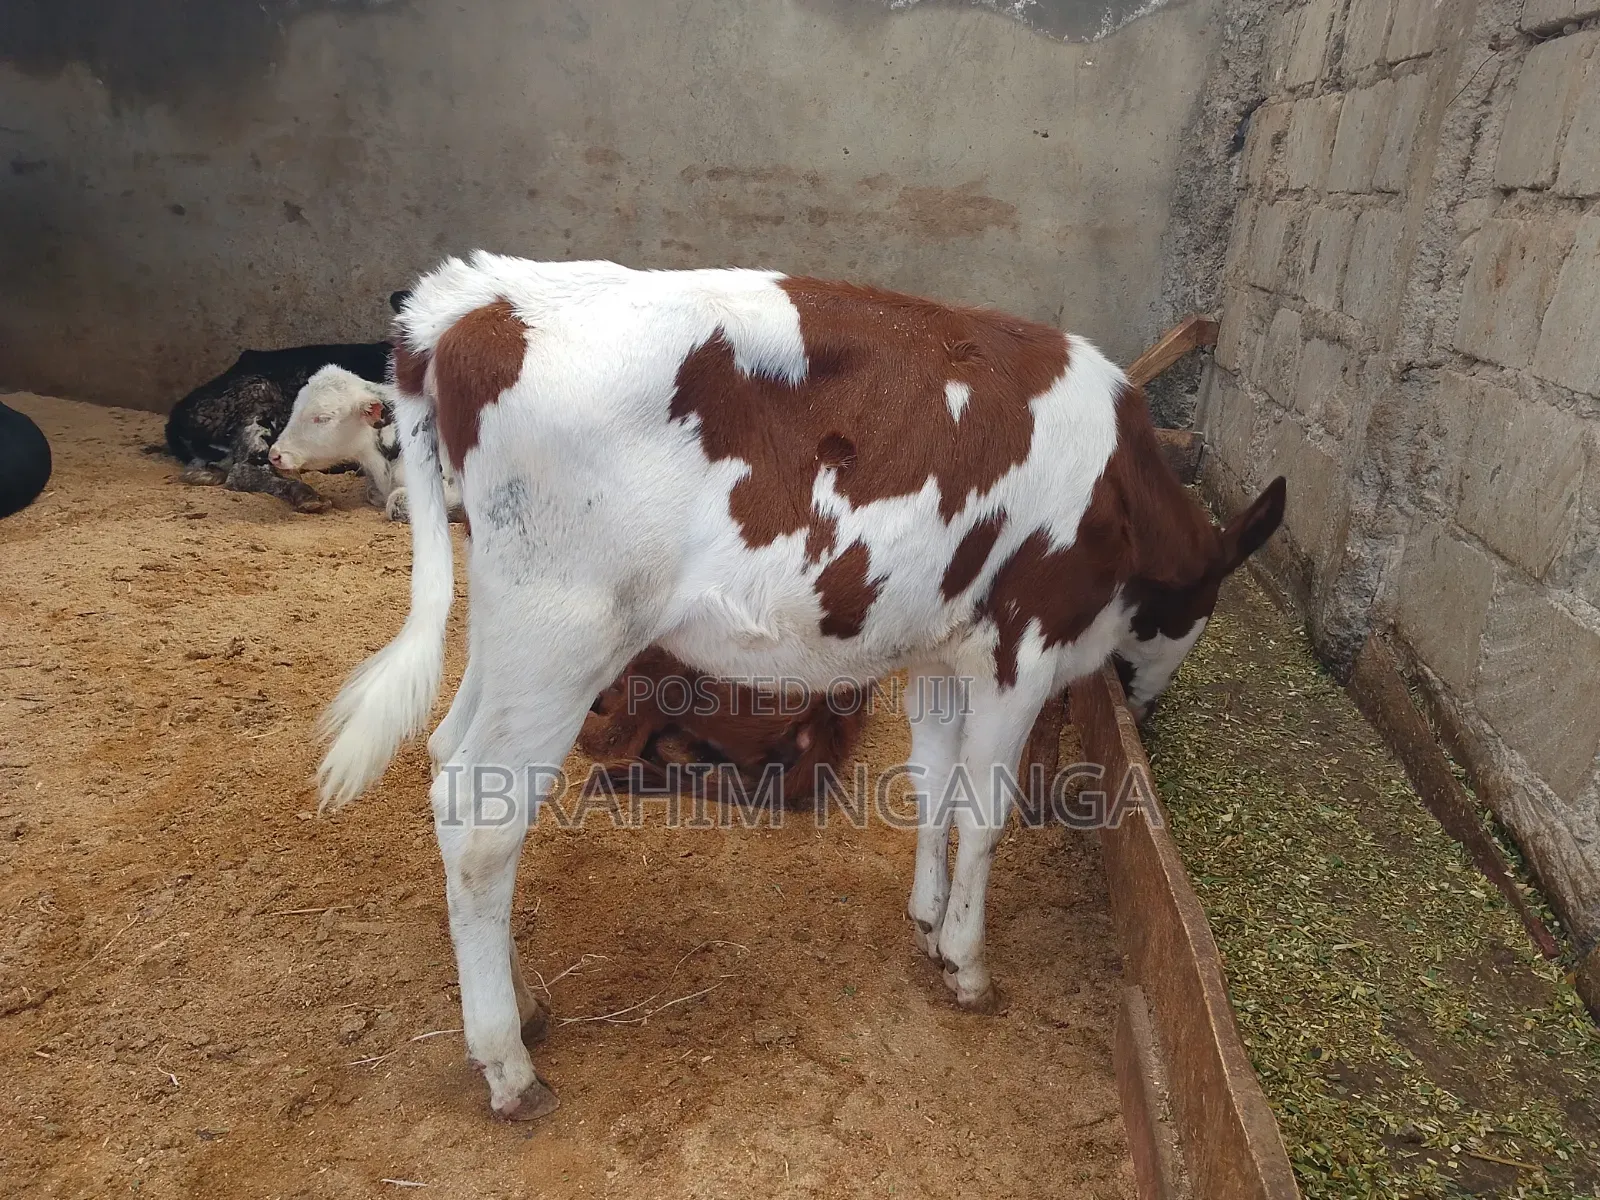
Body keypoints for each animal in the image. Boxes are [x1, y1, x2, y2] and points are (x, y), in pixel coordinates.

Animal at [314, 253, 1285, 1120]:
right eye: (1204, 606)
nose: (1148, 715)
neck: (1119, 491)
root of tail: (474, 298)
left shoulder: (942, 651)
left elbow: (933, 786)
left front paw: (928, 920)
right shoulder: (1028, 643)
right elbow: (983, 812)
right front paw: (968, 963)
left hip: (511, 628)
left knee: (454, 760)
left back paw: (527, 1006)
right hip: (566, 632)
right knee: (483, 826)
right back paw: (508, 1067)